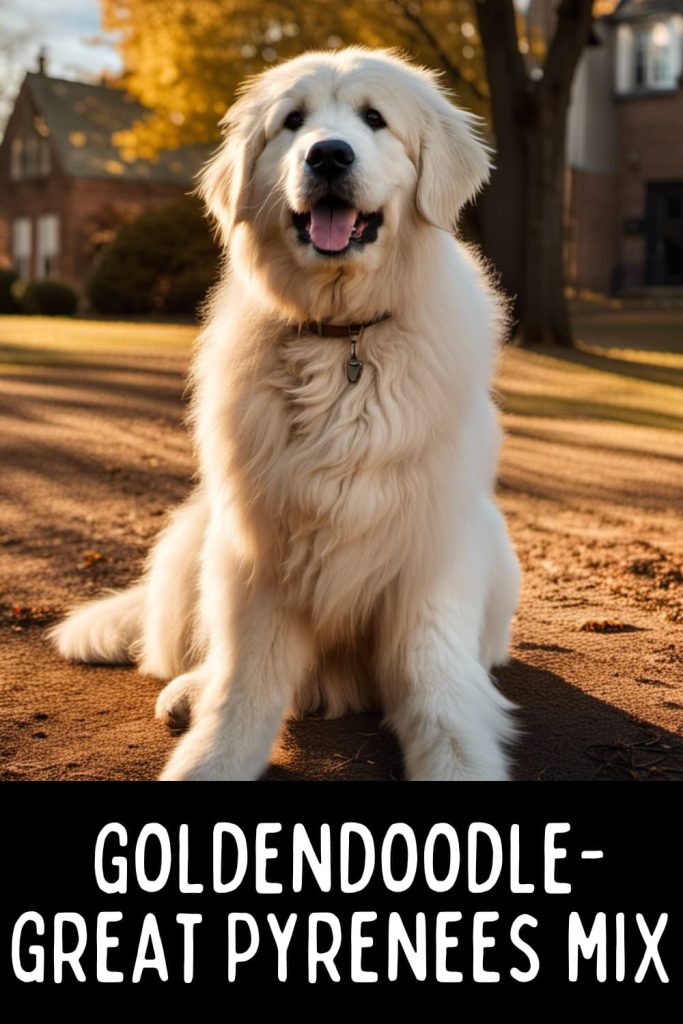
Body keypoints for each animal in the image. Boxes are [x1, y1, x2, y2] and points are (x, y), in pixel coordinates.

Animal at [53, 48, 520, 778]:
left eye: (374, 119)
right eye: (292, 122)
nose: (327, 155)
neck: (343, 344)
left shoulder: (429, 558)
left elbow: (438, 694)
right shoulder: (260, 551)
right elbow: (242, 686)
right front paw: (210, 754)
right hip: (198, 532)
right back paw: (188, 690)